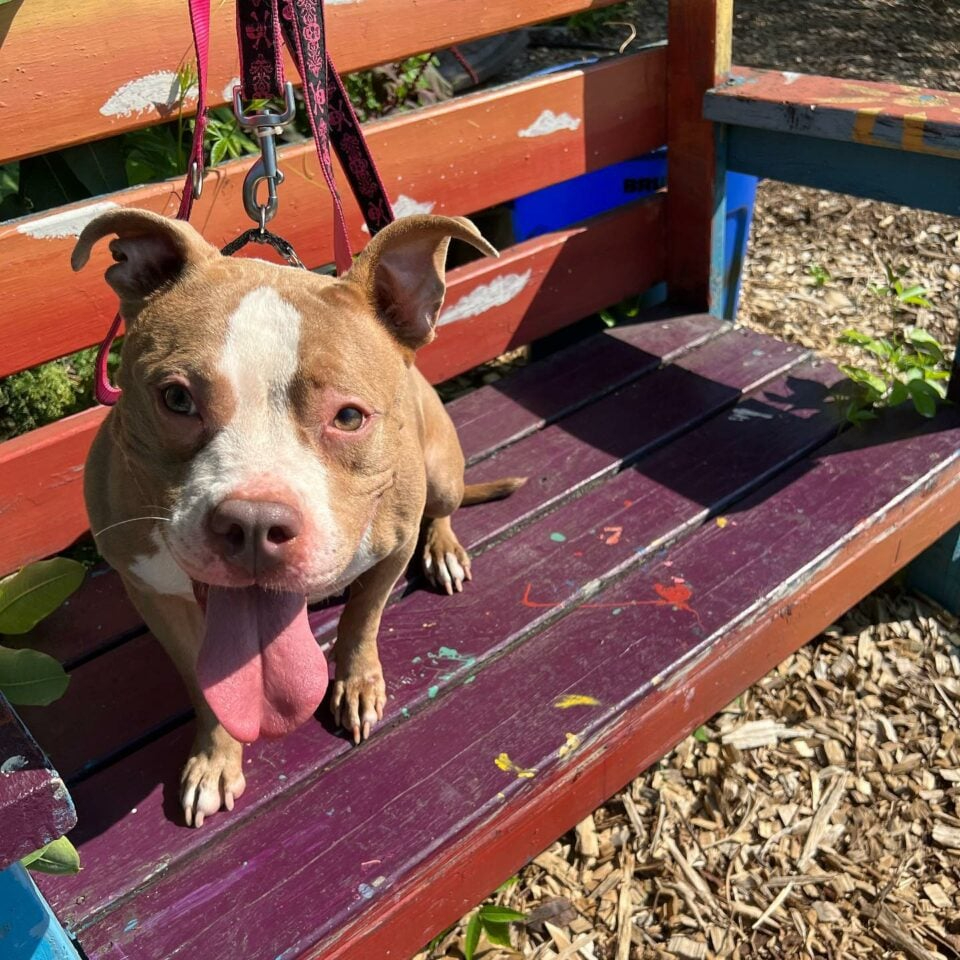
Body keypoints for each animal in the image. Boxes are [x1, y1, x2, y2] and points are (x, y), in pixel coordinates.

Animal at [75, 210, 524, 824]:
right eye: (176, 399)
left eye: (350, 416)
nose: (254, 525)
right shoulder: (149, 590)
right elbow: (203, 679)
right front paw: (215, 758)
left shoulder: (392, 547)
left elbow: (362, 621)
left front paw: (357, 685)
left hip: (441, 475)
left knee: (442, 511)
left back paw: (444, 549)